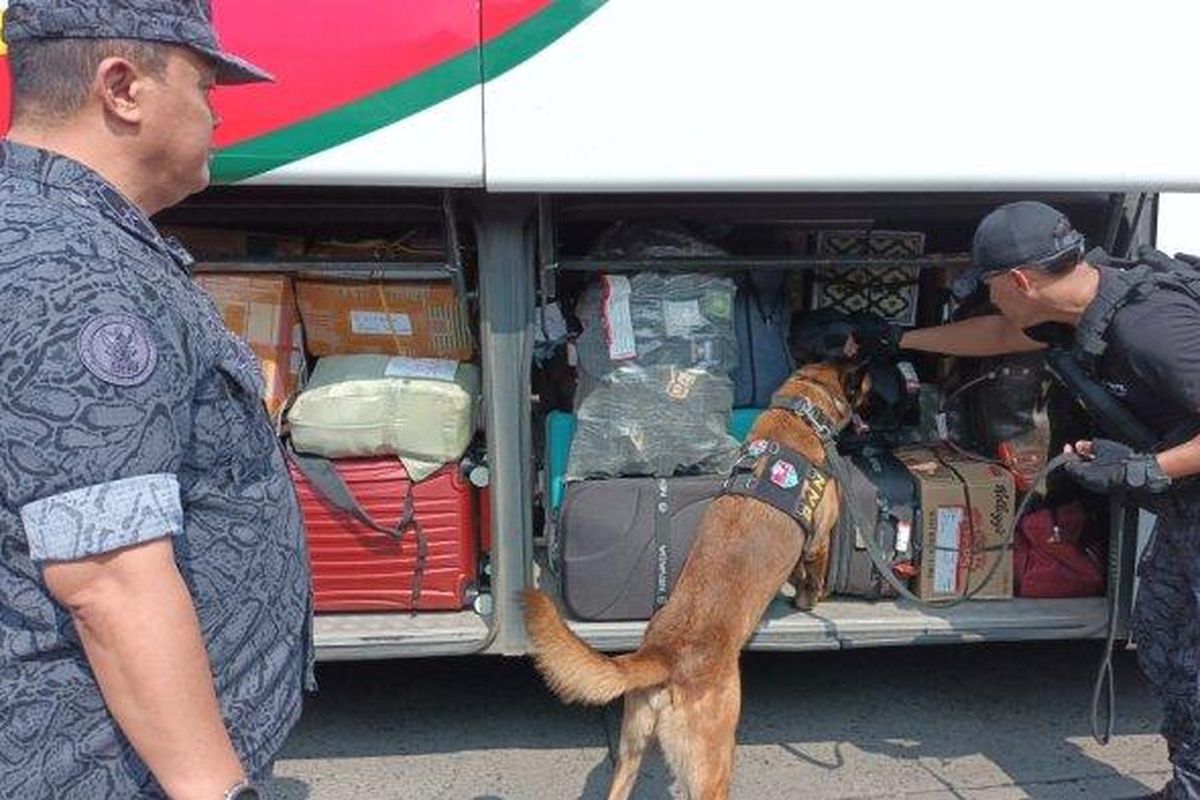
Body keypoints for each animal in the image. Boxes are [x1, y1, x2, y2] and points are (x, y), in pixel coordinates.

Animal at [523, 364, 864, 800]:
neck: (798, 412)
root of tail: (663, 653)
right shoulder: (819, 537)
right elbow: (811, 575)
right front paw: (811, 599)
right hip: (714, 762)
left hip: (631, 750)